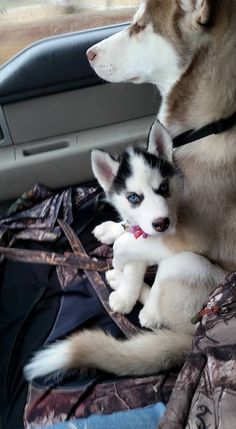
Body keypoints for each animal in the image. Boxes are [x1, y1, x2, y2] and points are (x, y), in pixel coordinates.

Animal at [24, 0, 236, 378]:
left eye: (138, 27)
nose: (88, 53)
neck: (213, 123)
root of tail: (195, 342)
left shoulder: (187, 233)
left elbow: (135, 242)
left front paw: (123, 259)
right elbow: (132, 228)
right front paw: (115, 231)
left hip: (188, 266)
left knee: (152, 316)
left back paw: (127, 291)